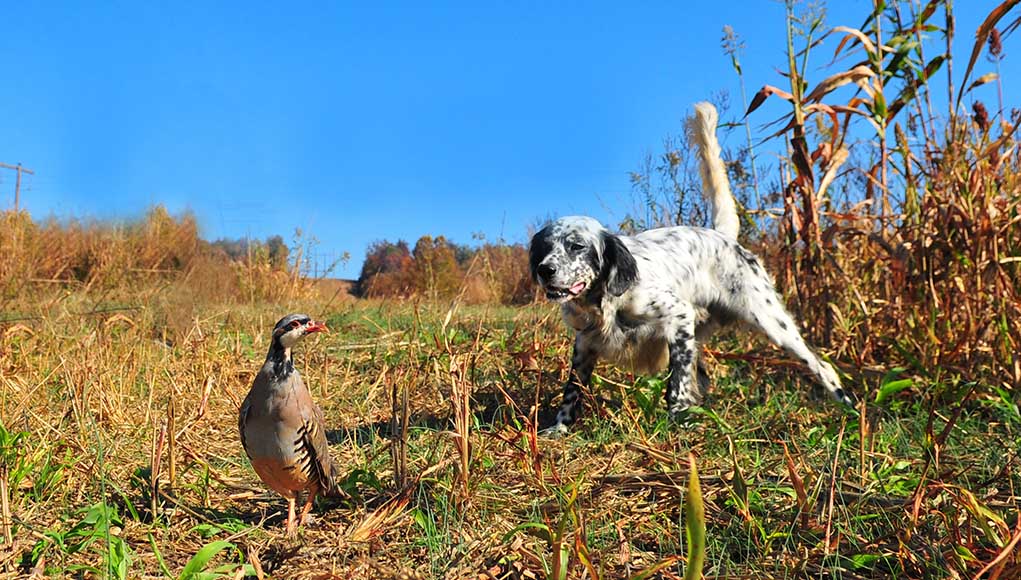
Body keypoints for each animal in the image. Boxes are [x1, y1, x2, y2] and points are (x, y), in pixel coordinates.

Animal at [530, 103, 849, 435]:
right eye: (544, 248)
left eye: (576, 246)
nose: (544, 270)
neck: (607, 300)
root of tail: (724, 237)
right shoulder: (585, 343)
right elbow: (572, 390)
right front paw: (560, 428)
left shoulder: (678, 315)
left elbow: (677, 383)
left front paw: (677, 418)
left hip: (772, 323)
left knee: (822, 367)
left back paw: (849, 408)